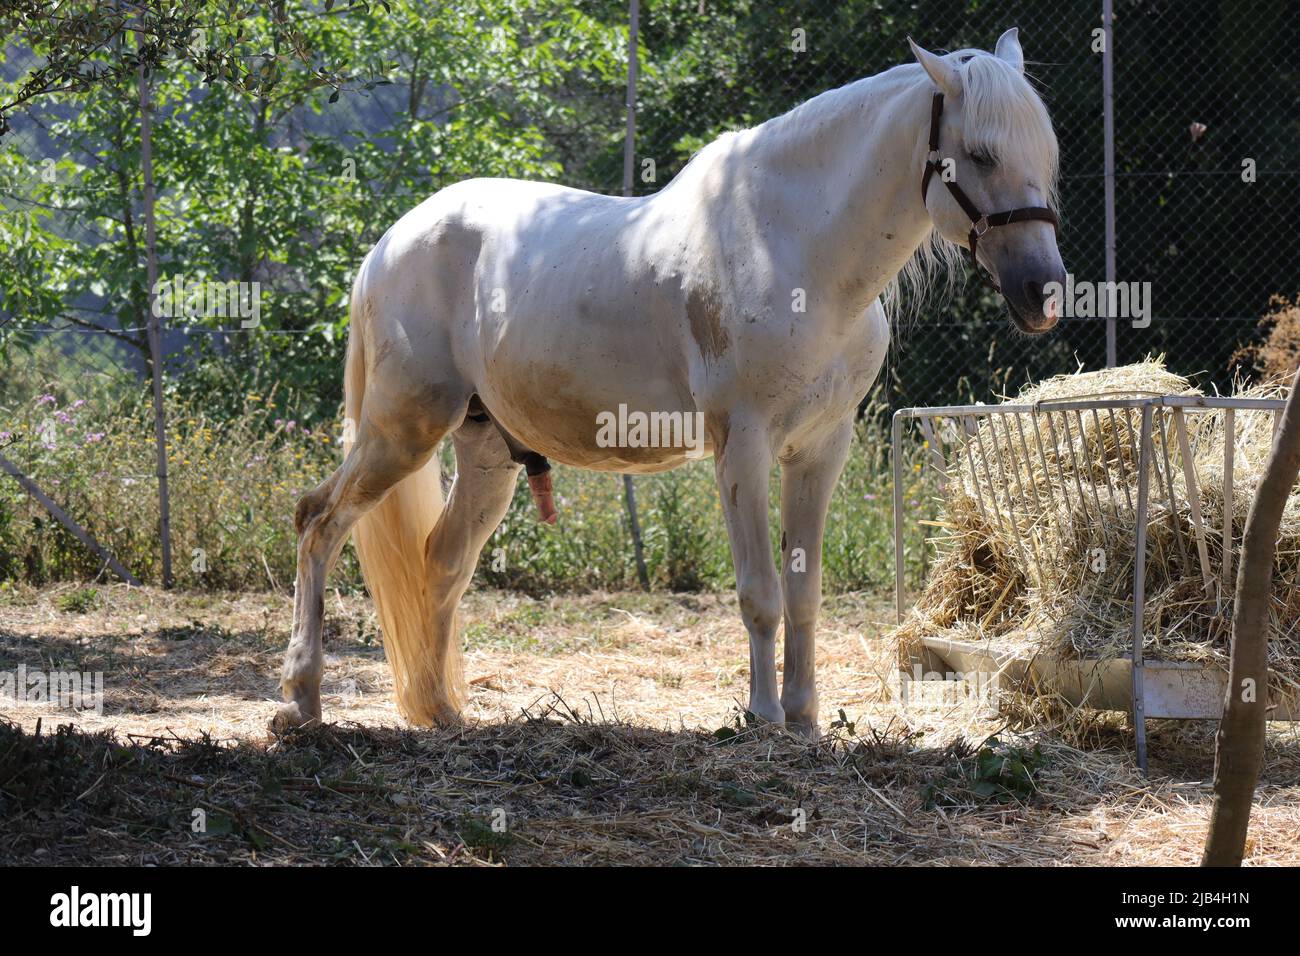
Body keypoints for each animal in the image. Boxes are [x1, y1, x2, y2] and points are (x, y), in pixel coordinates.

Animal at [273, 29, 1065, 735]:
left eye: (1047, 156)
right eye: (980, 154)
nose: (1045, 292)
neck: (796, 251)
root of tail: (389, 245)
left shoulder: (820, 449)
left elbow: (805, 594)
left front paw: (805, 718)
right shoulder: (742, 446)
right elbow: (760, 594)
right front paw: (763, 717)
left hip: (486, 453)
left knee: (441, 563)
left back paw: (439, 711)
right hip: (401, 430)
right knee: (319, 524)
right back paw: (301, 704)